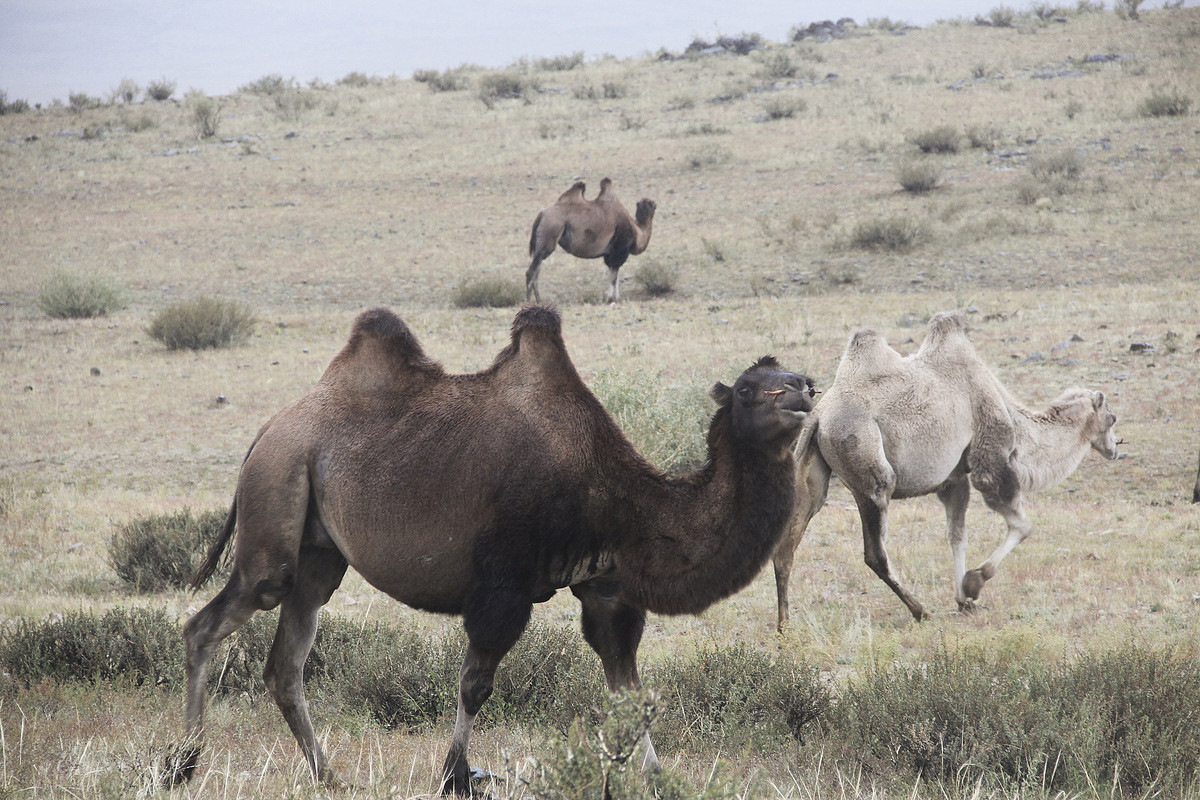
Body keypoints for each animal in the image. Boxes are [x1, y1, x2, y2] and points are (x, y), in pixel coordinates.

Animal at [169, 304, 816, 796]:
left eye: (797, 379)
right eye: (750, 390)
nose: (804, 393)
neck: (613, 494)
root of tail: (268, 430)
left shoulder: (605, 586)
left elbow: (627, 688)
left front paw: (659, 779)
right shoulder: (503, 582)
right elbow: (476, 683)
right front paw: (454, 776)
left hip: (320, 553)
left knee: (286, 661)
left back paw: (329, 777)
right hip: (278, 497)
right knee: (216, 620)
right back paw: (182, 765)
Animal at [525, 178, 657, 303]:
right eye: (650, 204)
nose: (655, 203)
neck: (636, 231)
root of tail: (542, 214)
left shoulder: (610, 253)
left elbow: (613, 275)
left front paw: (615, 298)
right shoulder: (619, 249)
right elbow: (614, 277)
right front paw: (611, 299)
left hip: (541, 243)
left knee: (537, 271)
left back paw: (539, 301)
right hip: (549, 234)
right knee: (531, 271)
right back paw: (529, 301)